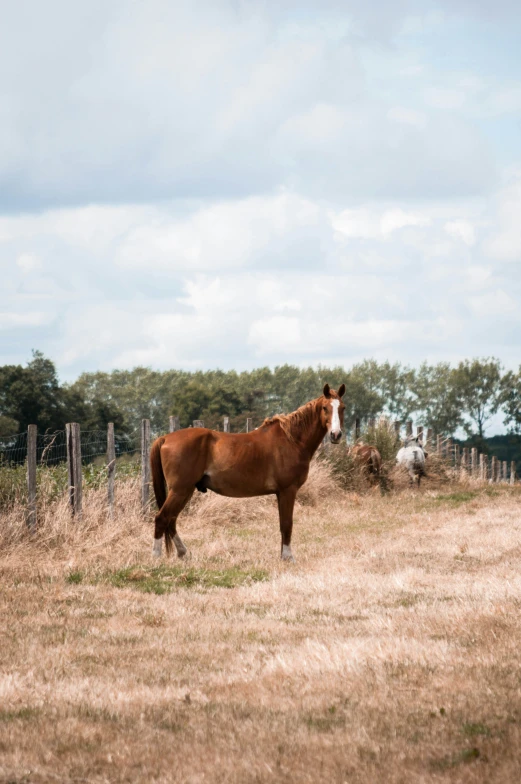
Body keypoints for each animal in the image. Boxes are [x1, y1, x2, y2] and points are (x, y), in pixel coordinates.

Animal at [149, 382, 346, 560]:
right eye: (325, 408)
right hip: (180, 490)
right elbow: (287, 524)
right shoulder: (287, 490)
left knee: (171, 520)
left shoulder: (280, 493)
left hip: (184, 491)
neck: (292, 440)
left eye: (342, 408)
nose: (336, 435)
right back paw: (156, 558)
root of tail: (165, 438)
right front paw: (288, 557)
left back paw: (182, 553)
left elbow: (282, 524)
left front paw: (283, 556)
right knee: (162, 519)